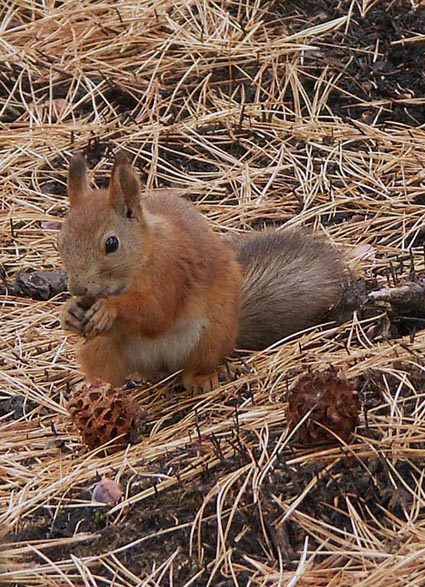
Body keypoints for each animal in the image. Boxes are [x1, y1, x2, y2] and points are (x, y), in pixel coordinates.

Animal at [58, 153, 346, 390]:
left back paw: (202, 379)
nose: (77, 288)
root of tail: (161, 367)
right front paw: (69, 311)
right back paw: (94, 388)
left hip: (210, 337)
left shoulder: (171, 271)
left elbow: (156, 312)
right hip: (101, 348)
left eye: (111, 244)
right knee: (108, 372)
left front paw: (110, 308)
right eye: (61, 240)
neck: (144, 256)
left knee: (193, 368)